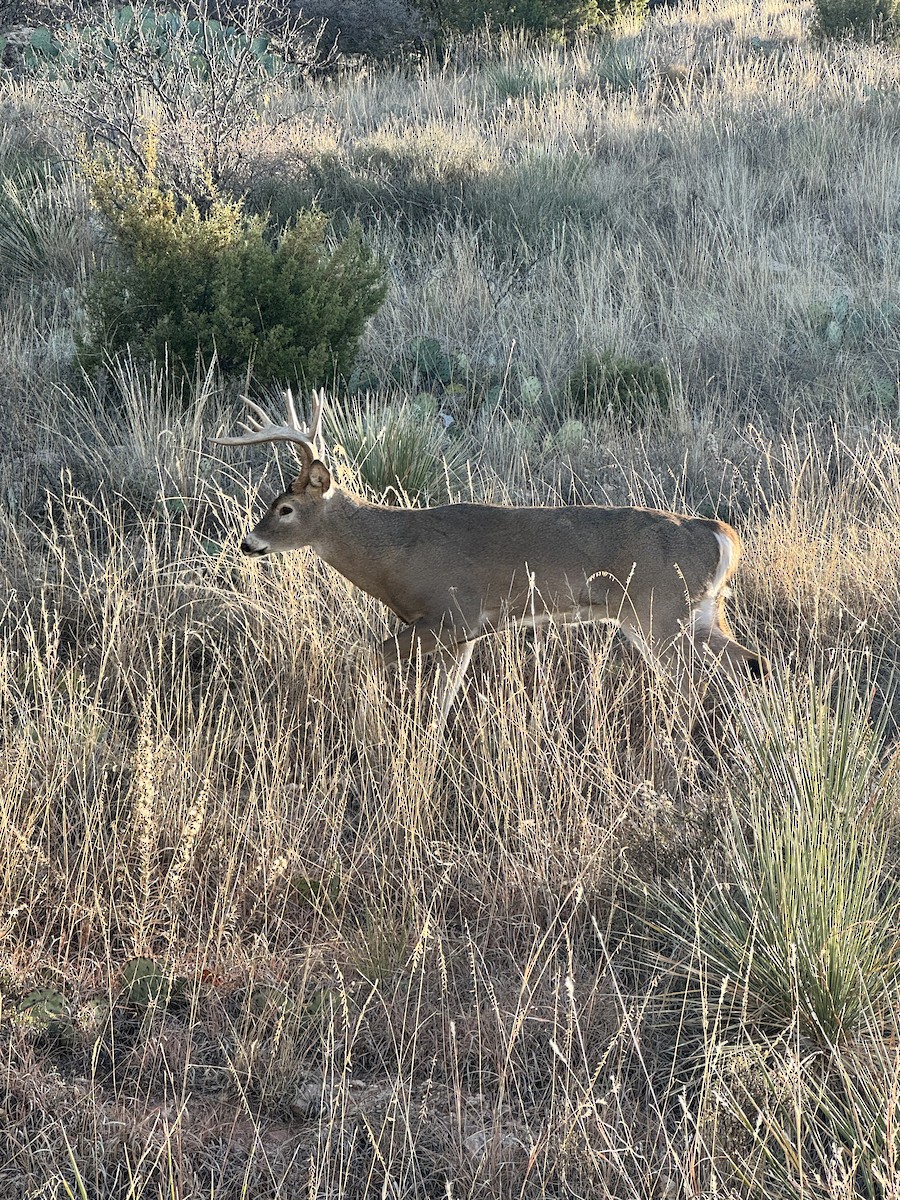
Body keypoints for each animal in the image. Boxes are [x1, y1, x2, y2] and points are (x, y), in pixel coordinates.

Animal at [212, 391, 767, 723]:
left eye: (284, 508)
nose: (248, 543)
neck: (394, 553)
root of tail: (719, 534)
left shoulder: (449, 614)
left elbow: (368, 656)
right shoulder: (464, 633)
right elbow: (441, 703)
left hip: (660, 612)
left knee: (697, 682)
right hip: (695, 612)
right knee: (747, 661)